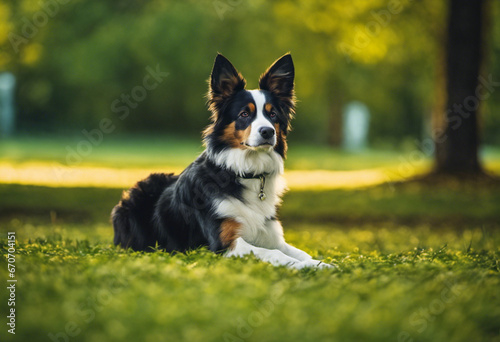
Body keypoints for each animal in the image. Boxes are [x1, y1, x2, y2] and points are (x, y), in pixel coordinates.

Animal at [112, 53, 332, 268]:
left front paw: (320, 264)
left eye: (272, 114)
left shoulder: (271, 235)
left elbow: (301, 253)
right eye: (244, 113)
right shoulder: (226, 243)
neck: (244, 172)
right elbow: (275, 254)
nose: (268, 132)